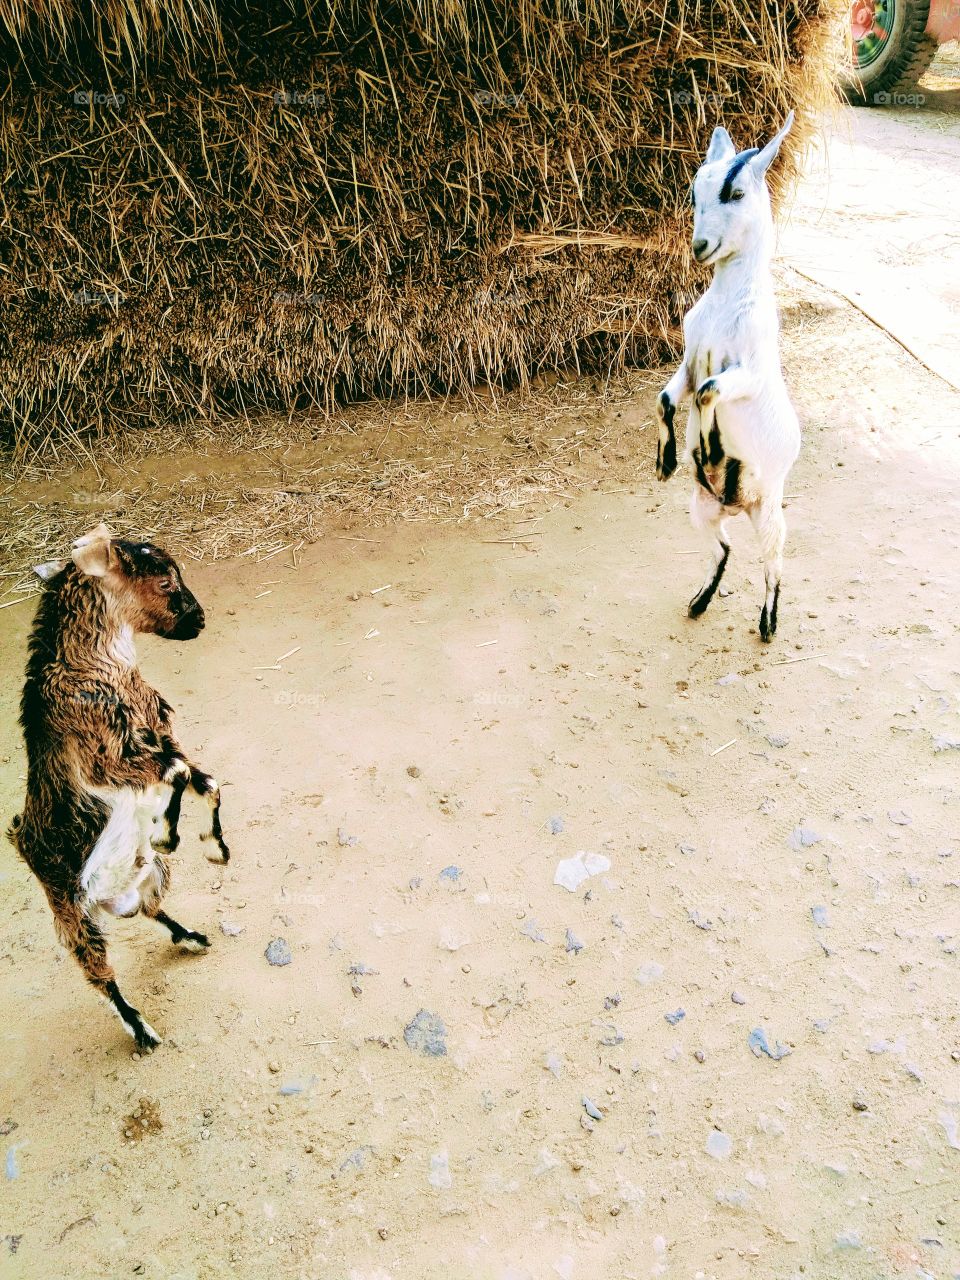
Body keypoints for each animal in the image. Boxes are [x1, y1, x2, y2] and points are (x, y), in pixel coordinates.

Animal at [7, 523, 229, 1052]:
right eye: (165, 582)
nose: (200, 620)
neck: (94, 669)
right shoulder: (107, 760)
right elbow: (179, 775)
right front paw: (168, 832)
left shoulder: (161, 739)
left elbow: (205, 780)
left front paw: (215, 848)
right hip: (71, 915)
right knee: (100, 975)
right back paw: (142, 1030)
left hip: (151, 879)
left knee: (151, 910)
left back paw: (191, 937)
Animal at [656, 111, 801, 642]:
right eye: (693, 192)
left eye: (735, 192)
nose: (700, 246)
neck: (724, 307)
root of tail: (734, 506)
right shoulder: (686, 361)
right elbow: (667, 398)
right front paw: (666, 463)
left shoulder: (748, 373)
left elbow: (707, 392)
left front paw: (712, 446)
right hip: (700, 509)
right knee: (725, 549)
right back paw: (698, 603)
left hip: (770, 510)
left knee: (773, 562)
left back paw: (769, 624)